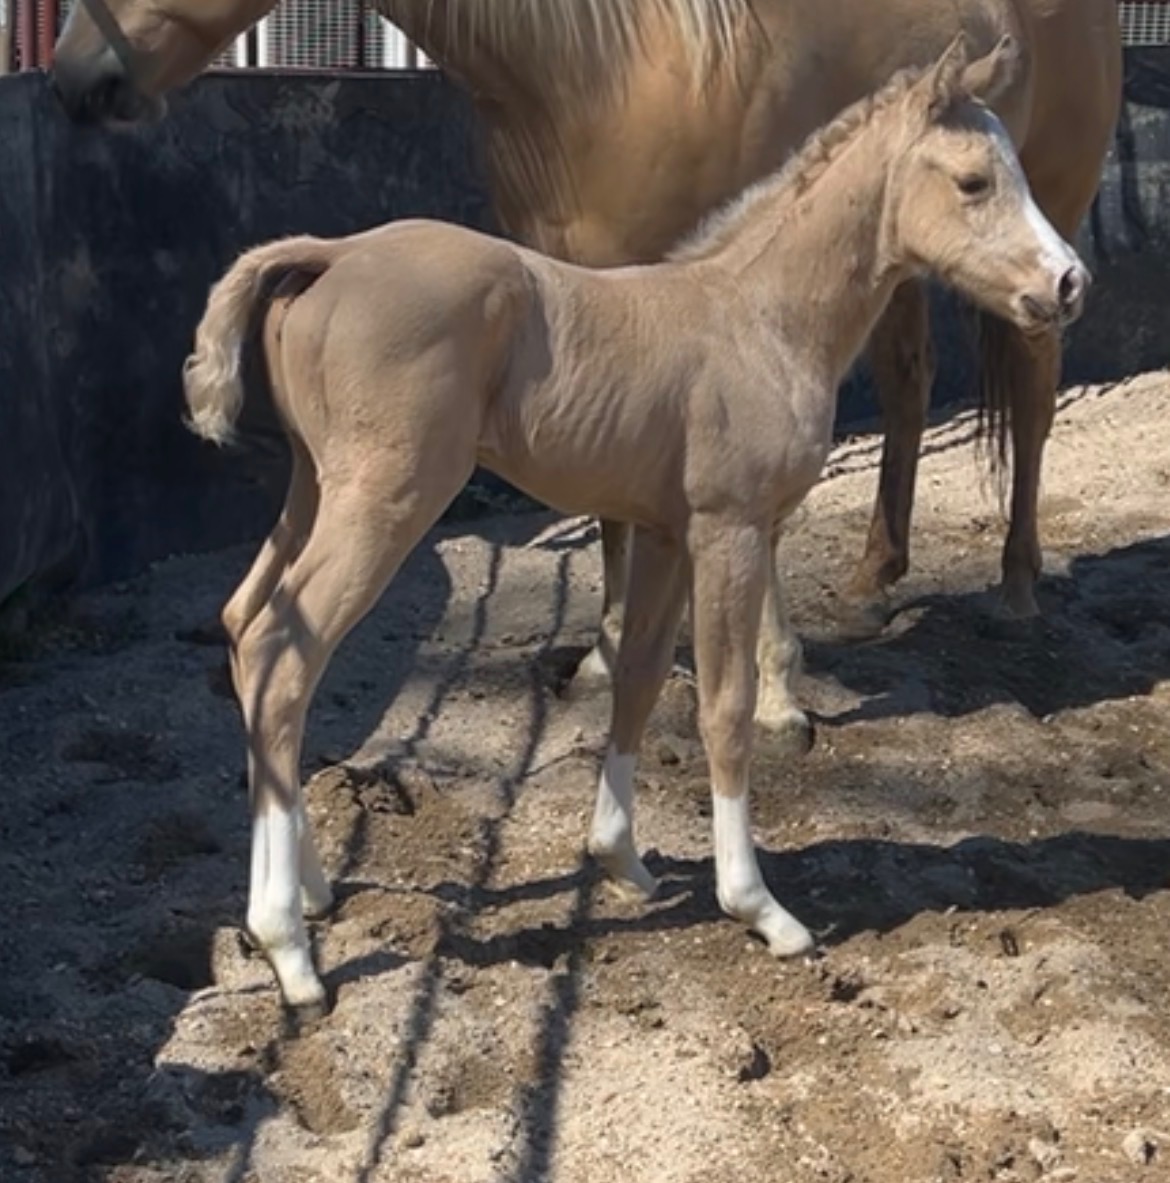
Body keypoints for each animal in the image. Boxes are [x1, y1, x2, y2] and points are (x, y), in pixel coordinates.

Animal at [180, 36, 1088, 1011]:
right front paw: (759, 906)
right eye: (972, 181)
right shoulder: (730, 530)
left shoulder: (663, 532)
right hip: (384, 498)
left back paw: (308, 890)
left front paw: (620, 857)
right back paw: (289, 949)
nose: (1069, 282)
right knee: (284, 653)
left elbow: (643, 679)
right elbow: (724, 705)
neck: (759, 316)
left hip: (313, 485)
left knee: (243, 625)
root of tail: (330, 253)